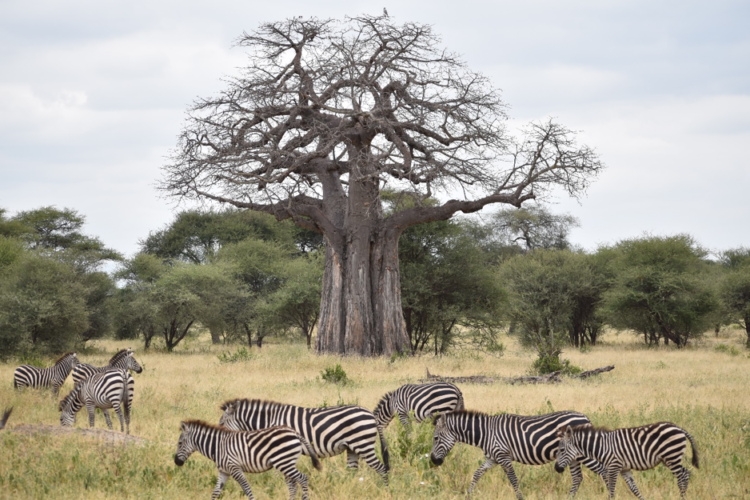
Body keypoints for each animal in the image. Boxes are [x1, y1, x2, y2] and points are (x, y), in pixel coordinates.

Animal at [176, 422, 324, 500]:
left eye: (179, 443)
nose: (176, 462)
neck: (218, 447)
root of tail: (294, 432)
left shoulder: (234, 468)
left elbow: (246, 489)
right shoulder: (224, 471)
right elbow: (216, 492)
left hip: (284, 463)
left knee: (303, 478)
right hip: (286, 463)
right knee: (293, 484)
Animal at [219, 396, 390, 482]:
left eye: (221, 424)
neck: (271, 420)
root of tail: (370, 414)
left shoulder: (278, 449)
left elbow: (278, 473)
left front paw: (277, 487)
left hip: (363, 445)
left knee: (382, 469)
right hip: (352, 447)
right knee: (352, 472)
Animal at [432, 410, 608, 500]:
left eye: (435, 438)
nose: (434, 461)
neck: (486, 433)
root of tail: (585, 417)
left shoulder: (503, 455)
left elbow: (513, 479)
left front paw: (520, 498)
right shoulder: (492, 458)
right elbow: (477, 473)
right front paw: (468, 495)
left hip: (583, 454)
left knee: (603, 471)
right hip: (572, 457)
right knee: (578, 478)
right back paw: (568, 498)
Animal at [556, 422, 704, 500]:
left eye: (562, 450)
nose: (556, 469)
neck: (603, 446)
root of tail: (678, 428)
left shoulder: (614, 466)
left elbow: (611, 490)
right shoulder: (624, 469)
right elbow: (634, 489)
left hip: (672, 457)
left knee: (681, 477)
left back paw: (682, 497)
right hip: (669, 459)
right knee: (686, 473)